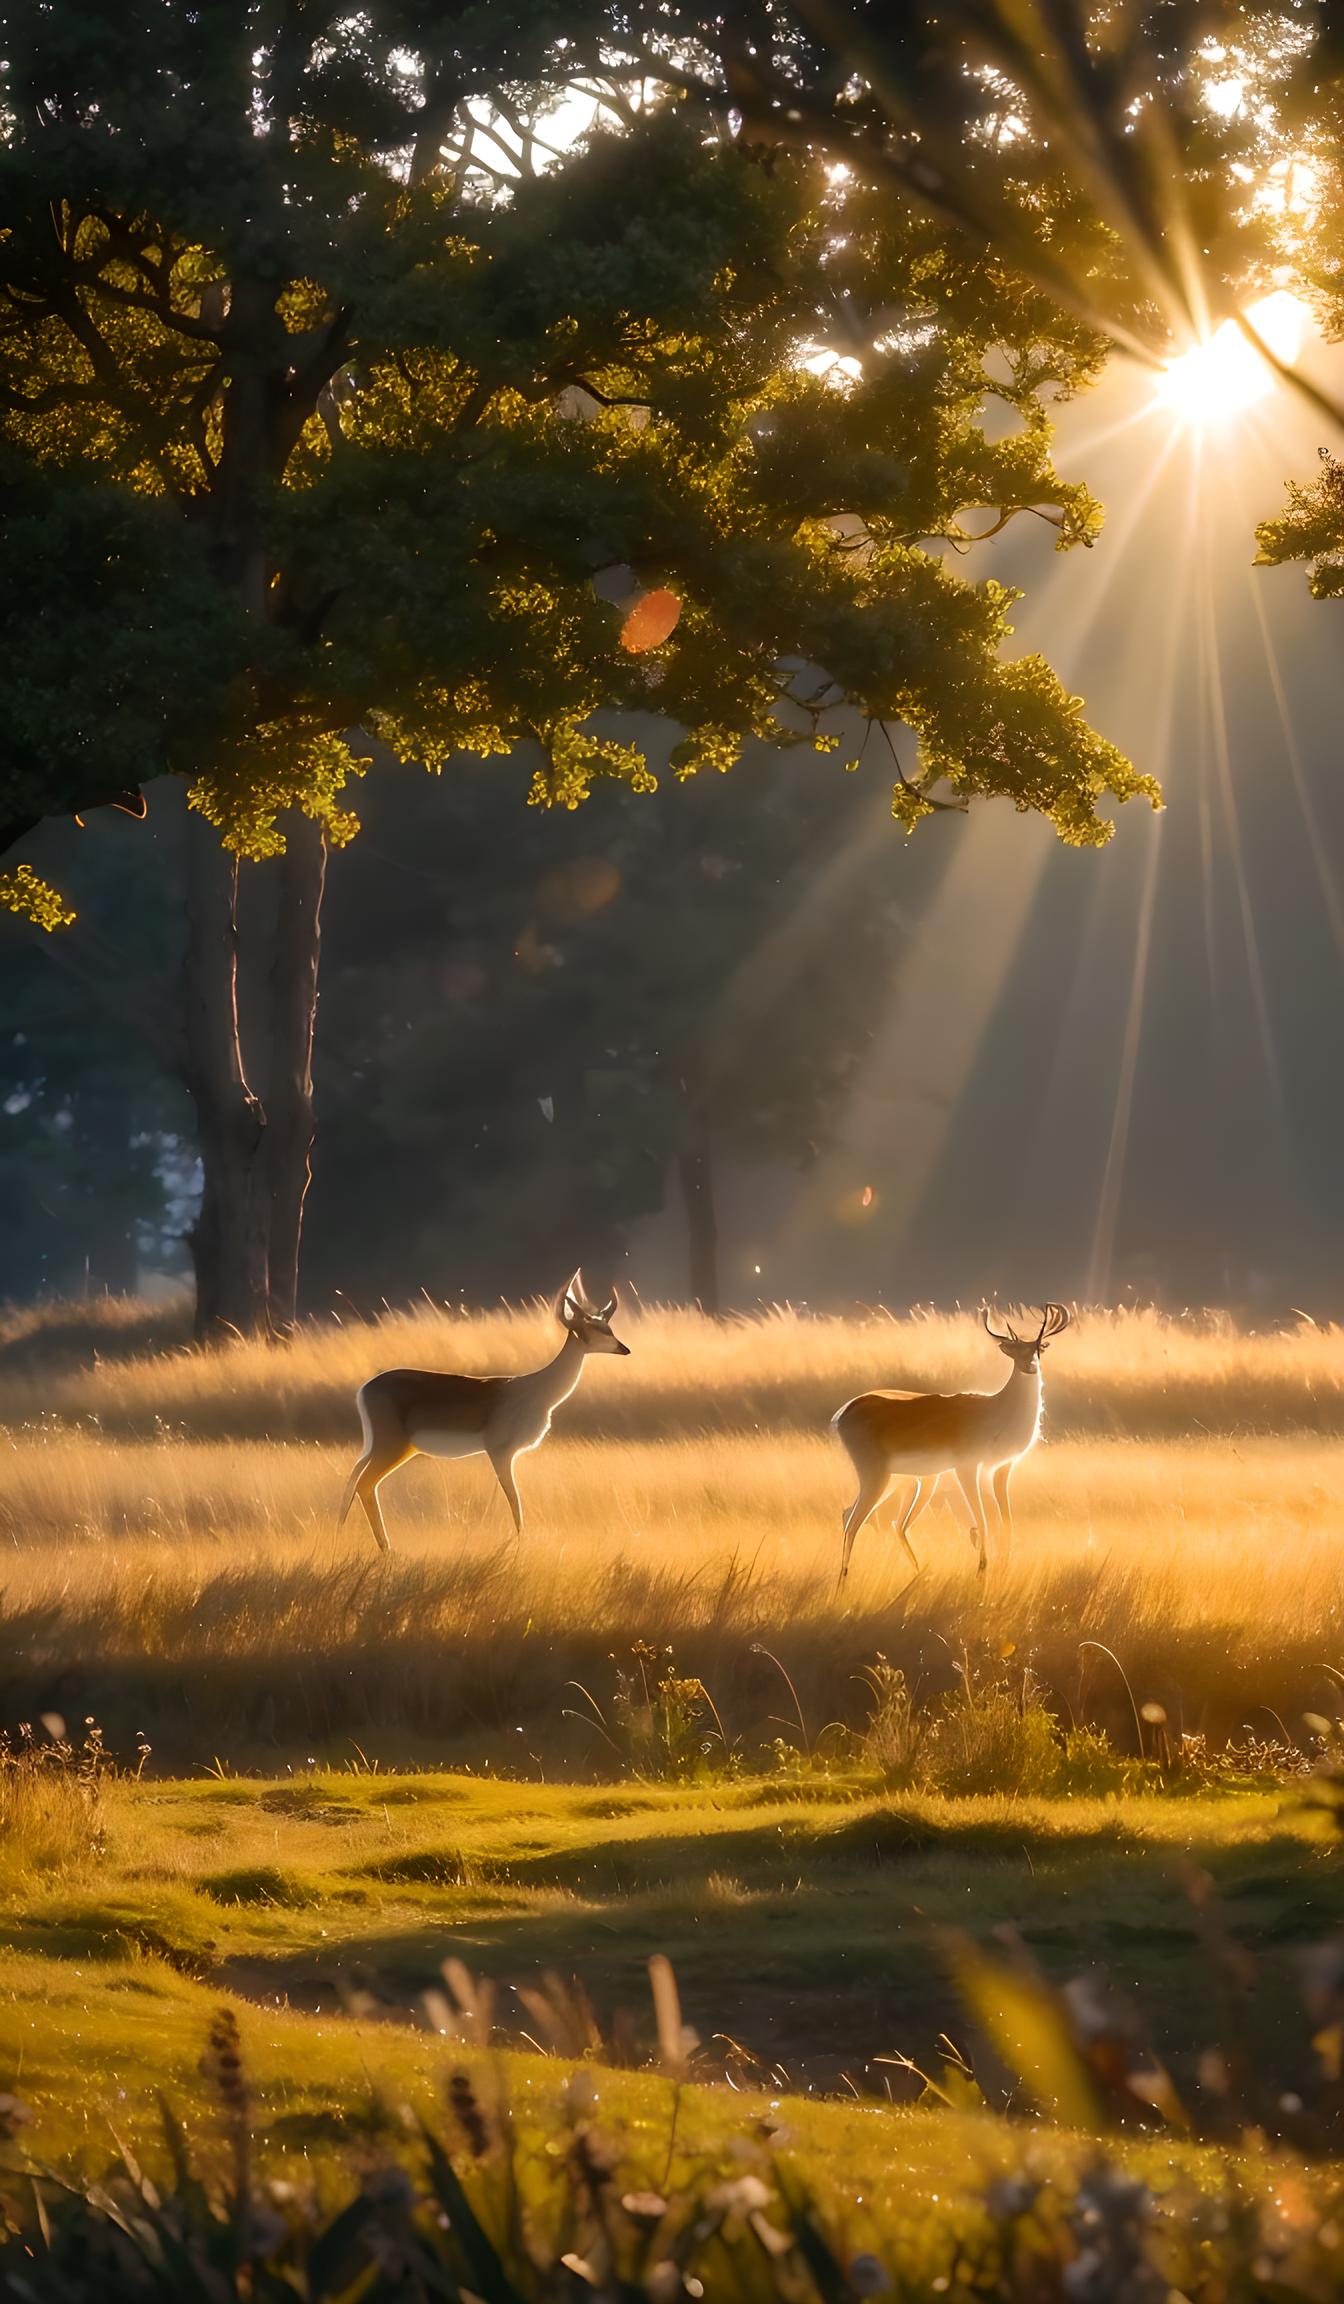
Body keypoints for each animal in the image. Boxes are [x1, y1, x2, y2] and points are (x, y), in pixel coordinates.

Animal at [336, 1271, 631, 1557]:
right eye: (595, 1327)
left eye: (608, 1326)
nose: (624, 1349)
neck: (535, 1391)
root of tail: (364, 1389)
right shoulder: (500, 1452)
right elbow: (514, 1500)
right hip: (391, 1448)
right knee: (365, 1484)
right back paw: (387, 1548)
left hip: (387, 1449)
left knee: (355, 1480)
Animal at [829, 1308, 1074, 1575]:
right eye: (1014, 1350)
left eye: (1038, 1348)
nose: (1030, 1367)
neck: (997, 1411)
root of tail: (845, 1410)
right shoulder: (968, 1467)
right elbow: (984, 1521)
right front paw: (982, 1570)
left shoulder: (1002, 1468)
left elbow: (1006, 1524)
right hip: (878, 1476)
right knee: (857, 1522)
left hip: (901, 1480)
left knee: (858, 1517)